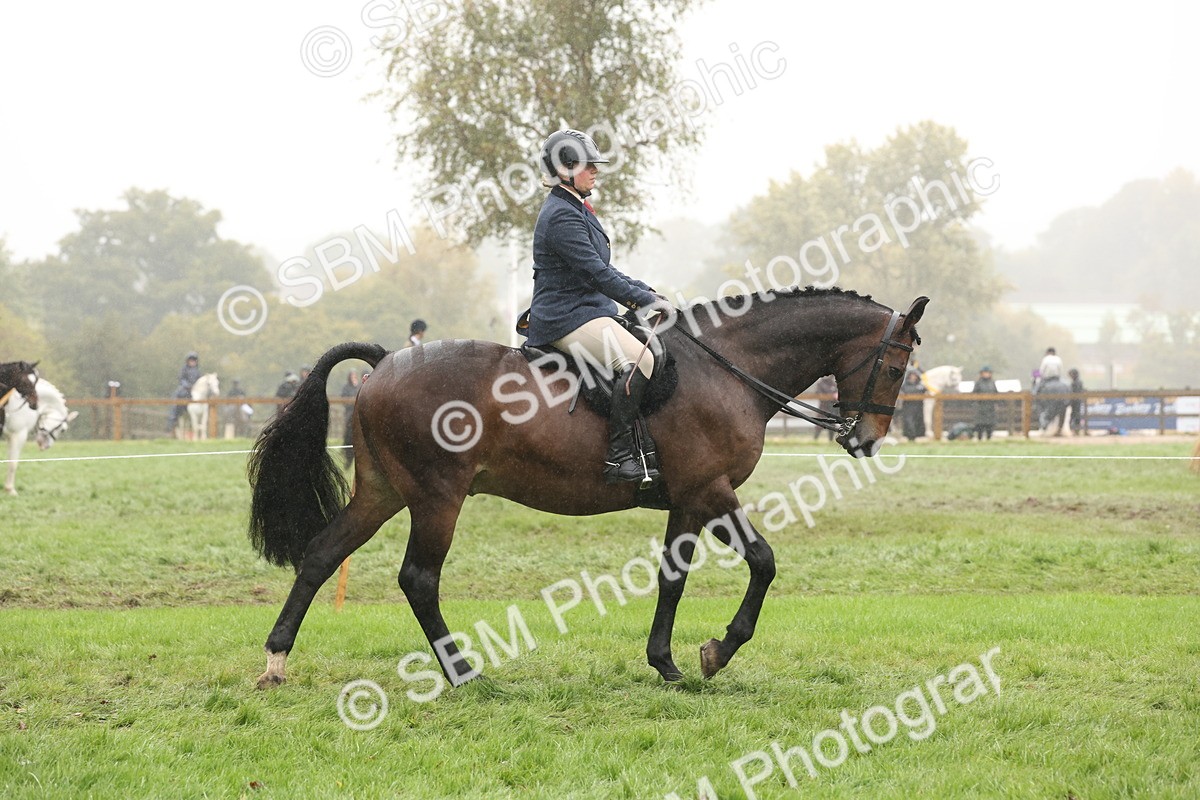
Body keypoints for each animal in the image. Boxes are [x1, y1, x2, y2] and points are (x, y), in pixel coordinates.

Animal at [248, 287, 928, 690]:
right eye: (897, 366)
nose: (867, 440)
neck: (728, 369)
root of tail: (388, 360)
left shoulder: (687, 500)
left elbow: (672, 579)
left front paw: (666, 664)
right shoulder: (712, 491)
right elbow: (763, 562)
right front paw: (717, 651)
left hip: (385, 492)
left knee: (322, 553)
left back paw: (277, 661)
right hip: (438, 498)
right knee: (417, 579)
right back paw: (465, 673)